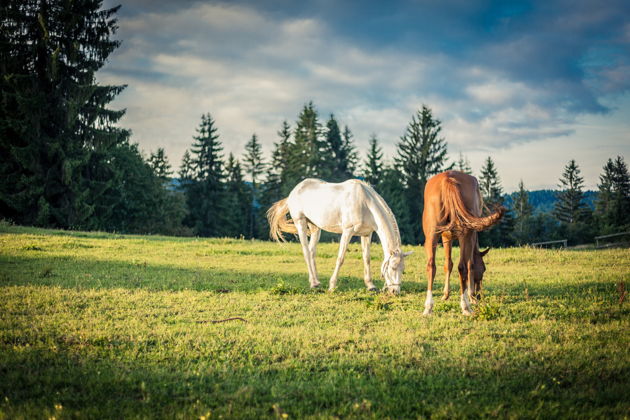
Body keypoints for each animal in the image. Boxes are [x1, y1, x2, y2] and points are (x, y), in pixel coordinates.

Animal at [268, 179, 412, 294]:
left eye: (403, 269)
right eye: (393, 267)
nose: (395, 291)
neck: (364, 203)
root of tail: (295, 190)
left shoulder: (366, 234)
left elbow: (366, 259)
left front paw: (371, 285)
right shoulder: (347, 231)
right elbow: (340, 258)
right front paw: (332, 286)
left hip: (315, 227)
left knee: (312, 251)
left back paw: (315, 281)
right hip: (300, 222)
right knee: (306, 252)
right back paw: (314, 283)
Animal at [424, 171, 508, 316]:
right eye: (484, 269)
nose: (479, 295)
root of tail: (448, 178)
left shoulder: (446, 236)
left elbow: (448, 264)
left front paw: (445, 295)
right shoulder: (472, 235)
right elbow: (470, 264)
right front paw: (471, 296)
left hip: (432, 234)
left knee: (431, 266)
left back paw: (428, 307)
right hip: (466, 235)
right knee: (463, 266)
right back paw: (466, 306)